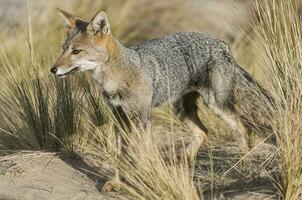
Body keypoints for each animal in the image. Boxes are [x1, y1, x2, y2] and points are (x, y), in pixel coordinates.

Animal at [50, 9, 272, 192]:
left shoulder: (141, 119)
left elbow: (144, 153)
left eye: (76, 51)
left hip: (216, 105)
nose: (53, 69)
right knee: (202, 132)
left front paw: (150, 179)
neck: (118, 76)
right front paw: (116, 182)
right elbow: (121, 156)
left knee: (242, 129)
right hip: (180, 109)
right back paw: (182, 164)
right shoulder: (119, 119)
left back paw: (244, 168)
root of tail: (221, 44)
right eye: (62, 49)